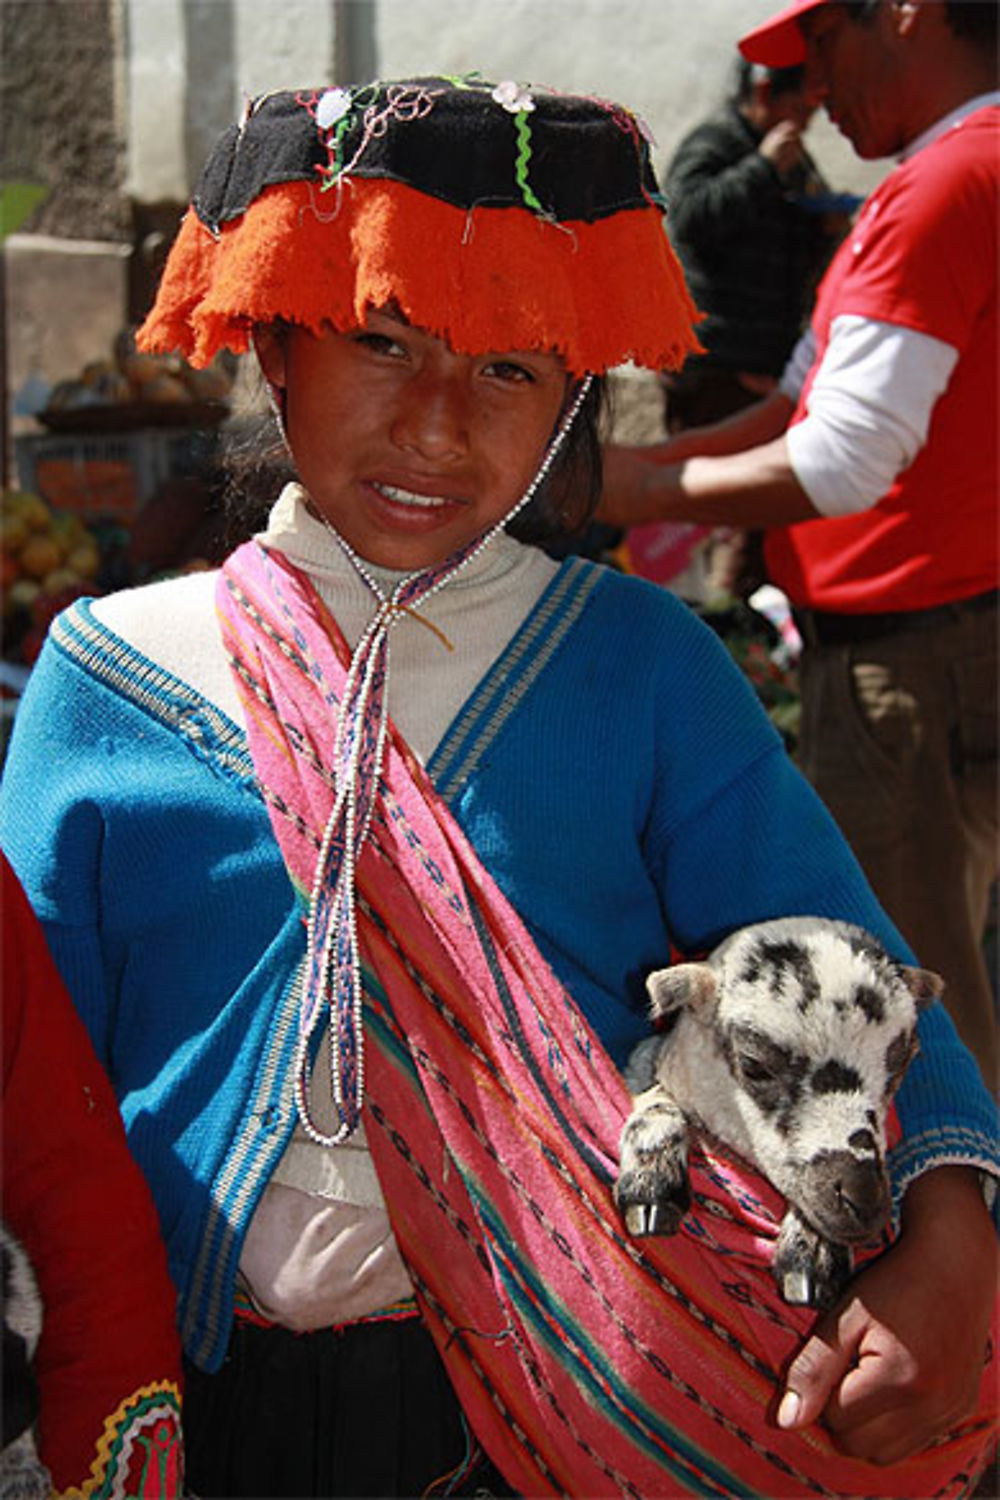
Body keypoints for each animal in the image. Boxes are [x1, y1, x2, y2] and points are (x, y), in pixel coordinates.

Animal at [614, 906, 941, 1308]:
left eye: (902, 1064)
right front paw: (652, 1181)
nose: (863, 1198)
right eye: (754, 1064)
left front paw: (813, 1250)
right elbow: (657, 1101)